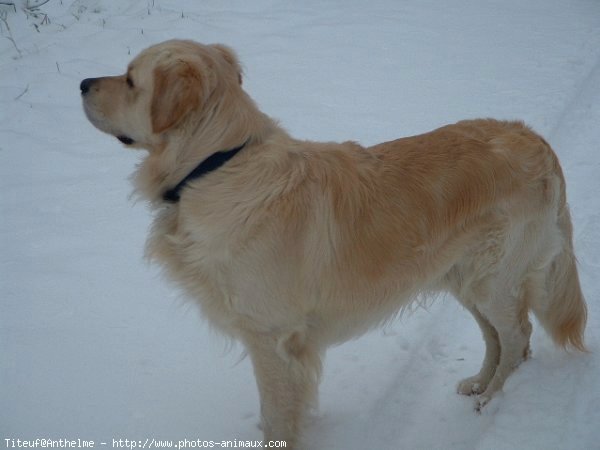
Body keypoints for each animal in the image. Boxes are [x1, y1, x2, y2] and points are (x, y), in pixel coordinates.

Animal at [79, 40, 584, 448]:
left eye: (130, 79)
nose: (82, 82)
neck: (215, 165)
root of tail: (535, 139)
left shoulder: (272, 337)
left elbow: (276, 415)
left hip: (492, 279)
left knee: (518, 337)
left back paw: (493, 400)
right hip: (465, 279)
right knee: (496, 338)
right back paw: (479, 384)